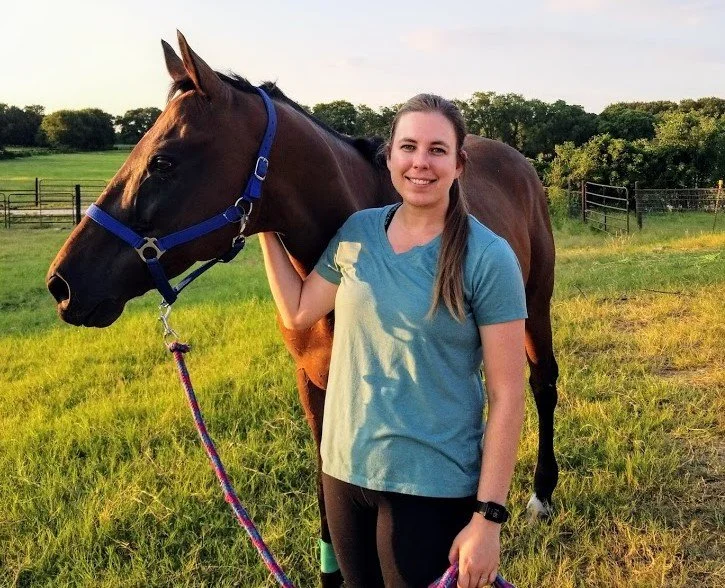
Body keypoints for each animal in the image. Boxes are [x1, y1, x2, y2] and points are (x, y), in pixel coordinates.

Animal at [46, 32, 559, 587]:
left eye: (163, 161)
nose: (62, 284)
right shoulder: (315, 386)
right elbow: (326, 482)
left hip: (535, 306)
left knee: (541, 384)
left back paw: (542, 493)